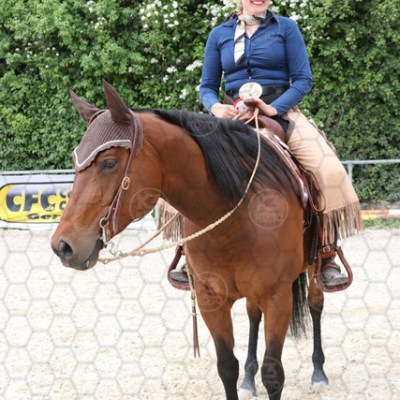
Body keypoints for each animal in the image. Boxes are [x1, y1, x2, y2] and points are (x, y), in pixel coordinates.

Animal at [51, 80, 329, 400]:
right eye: (75, 162)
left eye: (108, 163)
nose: (62, 245)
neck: (232, 219)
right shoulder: (210, 300)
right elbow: (227, 367)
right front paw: (242, 375)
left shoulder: (278, 297)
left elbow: (273, 374)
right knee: (252, 314)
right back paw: (249, 377)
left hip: (312, 268)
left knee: (315, 304)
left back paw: (319, 373)